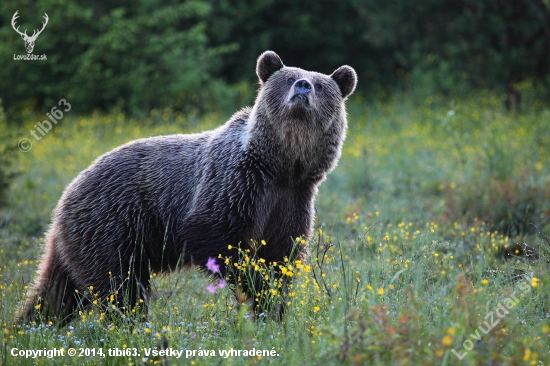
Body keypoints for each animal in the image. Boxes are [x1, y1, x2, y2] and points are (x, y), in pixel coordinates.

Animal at [18, 50, 358, 324]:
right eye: (287, 78)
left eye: (321, 84)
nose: (303, 86)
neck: (280, 165)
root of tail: (68, 190)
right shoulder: (236, 183)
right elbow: (215, 235)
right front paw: (255, 285)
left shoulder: (292, 199)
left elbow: (282, 256)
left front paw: (272, 309)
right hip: (113, 224)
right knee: (121, 286)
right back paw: (132, 327)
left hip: (85, 237)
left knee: (58, 293)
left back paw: (32, 326)